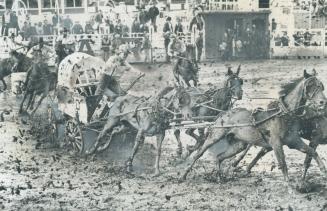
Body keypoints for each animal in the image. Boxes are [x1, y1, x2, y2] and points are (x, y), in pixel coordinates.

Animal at [181, 69, 327, 183]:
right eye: (310, 85)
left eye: (321, 86)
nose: (322, 102)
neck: (283, 114)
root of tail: (223, 113)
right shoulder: (276, 143)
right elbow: (283, 163)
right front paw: (291, 186)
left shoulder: (294, 141)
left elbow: (312, 152)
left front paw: (323, 170)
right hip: (215, 136)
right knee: (199, 152)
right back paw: (184, 174)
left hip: (239, 145)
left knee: (220, 157)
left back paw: (219, 177)